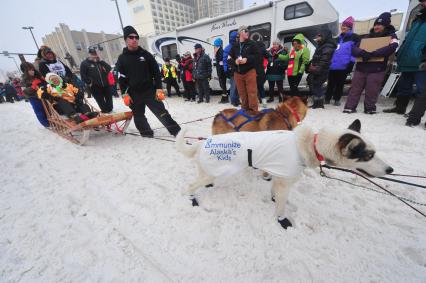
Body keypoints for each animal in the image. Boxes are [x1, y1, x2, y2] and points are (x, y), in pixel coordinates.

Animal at [176, 120, 392, 231]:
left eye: (374, 152)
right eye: (368, 155)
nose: (390, 170)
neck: (308, 145)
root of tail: (202, 143)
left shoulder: (279, 178)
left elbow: (275, 194)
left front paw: (274, 200)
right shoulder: (284, 182)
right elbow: (280, 207)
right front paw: (282, 220)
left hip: (212, 171)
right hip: (209, 173)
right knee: (189, 186)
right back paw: (193, 199)